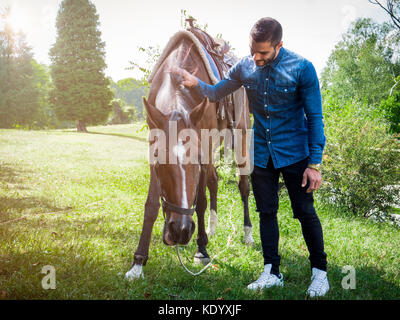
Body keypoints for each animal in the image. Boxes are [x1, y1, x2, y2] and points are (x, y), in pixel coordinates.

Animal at [126, 30, 253, 280]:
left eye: (195, 164)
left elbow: (200, 201)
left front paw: (201, 249)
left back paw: (247, 233)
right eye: (160, 164)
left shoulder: (204, 151)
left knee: (243, 186)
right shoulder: (153, 148)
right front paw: (138, 262)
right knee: (214, 180)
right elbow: (151, 205)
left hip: (241, 137)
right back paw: (212, 227)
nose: (180, 230)